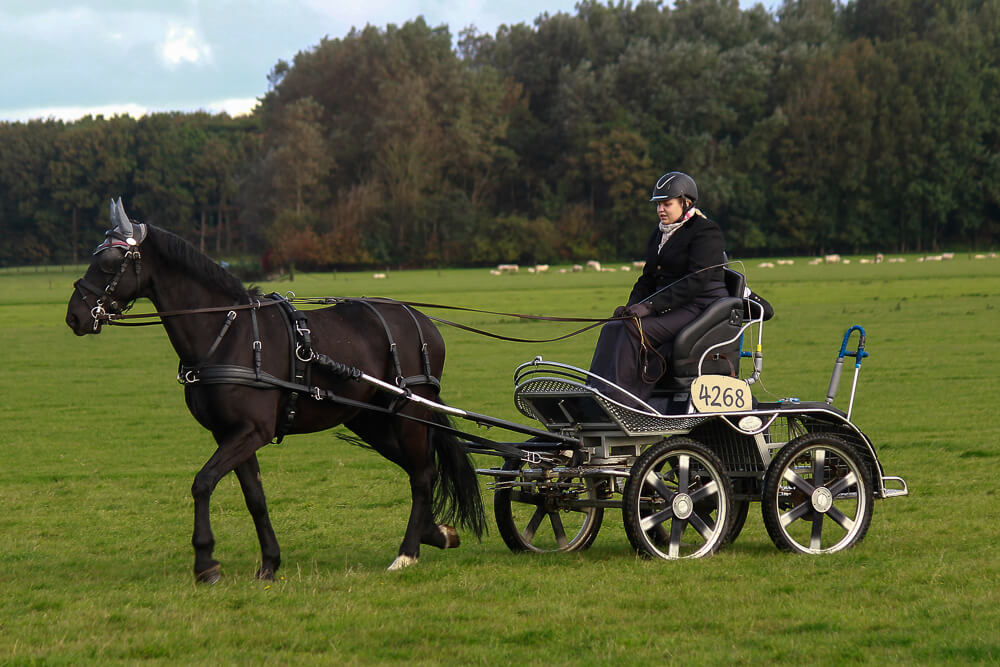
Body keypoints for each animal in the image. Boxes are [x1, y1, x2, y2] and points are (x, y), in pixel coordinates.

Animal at [64, 201, 486, 580]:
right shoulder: (230, 433)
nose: (75, 315)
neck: (227, 332)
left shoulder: (252, 431)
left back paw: (407, 552)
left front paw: (206, 563)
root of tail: (422, 319)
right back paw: (436, 533)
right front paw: (269, 562)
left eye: (108, 262)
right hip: (371, 420)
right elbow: (255, 497)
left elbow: (203, 483)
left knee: (422, 474)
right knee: (419, 468)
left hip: (410, 413)